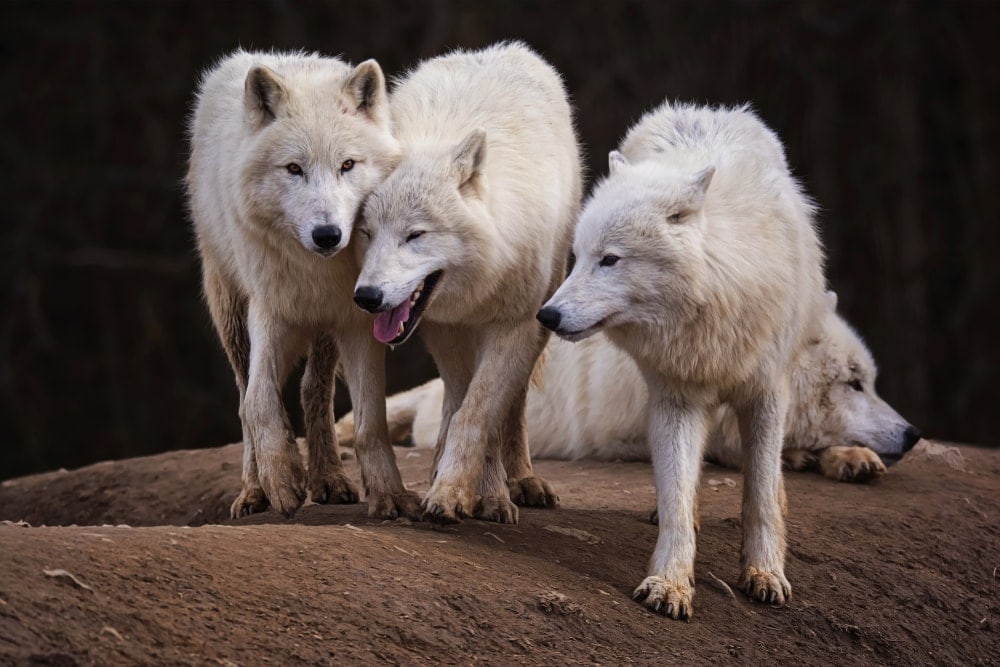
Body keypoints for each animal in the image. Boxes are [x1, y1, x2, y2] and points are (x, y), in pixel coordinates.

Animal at [187, 50, 420, 520]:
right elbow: (258, 402)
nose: (327, 234)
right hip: (230, 311)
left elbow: (371, 421)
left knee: (314, 389)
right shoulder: (270, 310)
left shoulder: (356, 320)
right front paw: (280, 479)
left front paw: (389, 494)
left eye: (347, 165)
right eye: (294, 169)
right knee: (244, 396)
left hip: (324, 327)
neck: (317, 270)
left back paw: (329, 479)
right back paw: (253, 490)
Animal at [351, 42, 582, 524]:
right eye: (366, 232)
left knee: (511, 405)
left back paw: (521, 480)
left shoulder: (515, 324)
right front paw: (466, 489)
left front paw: (469, 493)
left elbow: (480, 413)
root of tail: (496, 49)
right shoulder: (444, 326)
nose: (367, 297)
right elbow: (463, 405)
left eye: (415, 235)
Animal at [537, 102, 826, 619]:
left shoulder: (766, 392)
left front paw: (765, 571)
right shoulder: (677, 397)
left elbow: (759, 494)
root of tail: (700, 109)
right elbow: (675, 495)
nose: (547, 315)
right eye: (578, 257)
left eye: (609, 260)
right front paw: (670, 581)